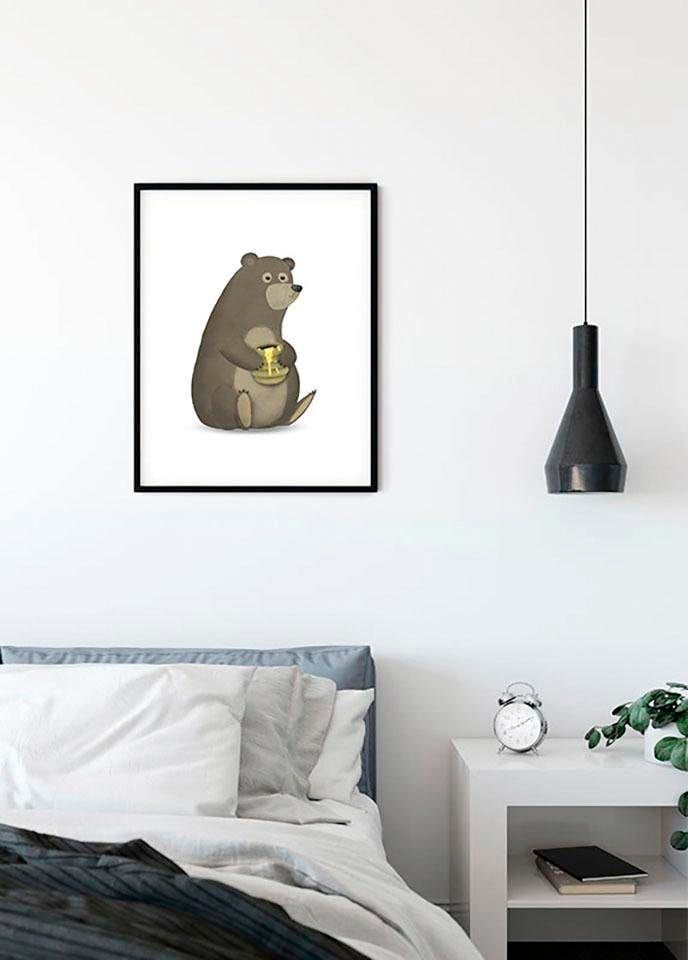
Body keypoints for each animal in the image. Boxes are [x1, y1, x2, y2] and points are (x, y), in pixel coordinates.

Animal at [191, 253, 316, 430]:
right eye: (267, 277)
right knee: (224, 402)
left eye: (284, 277)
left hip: (292, 385)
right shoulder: (225, 326)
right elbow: (229, 345)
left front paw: (285, 356)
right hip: (218, 390)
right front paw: (257, 362)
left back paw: (300, 407)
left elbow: (287, 345)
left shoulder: (276, 335)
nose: (296, 287)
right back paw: (243, 409)